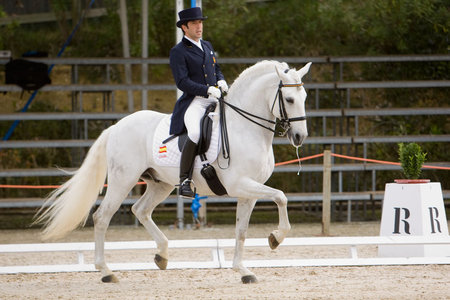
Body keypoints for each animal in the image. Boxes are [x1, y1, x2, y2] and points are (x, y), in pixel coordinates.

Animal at [35, 60, 312, 284]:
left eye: (305, 97)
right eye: (289, 100)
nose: (300, 136)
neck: (244, 128)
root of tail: (116, 126)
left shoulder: (249, 192)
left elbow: (242, 230)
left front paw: (244, 271)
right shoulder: (240, 184)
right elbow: (281, 196)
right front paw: (276, 237)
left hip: (160, 183)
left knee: (141, 210)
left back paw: (162, 255)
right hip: (123, 179)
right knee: (102, 217)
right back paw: (106, 272)